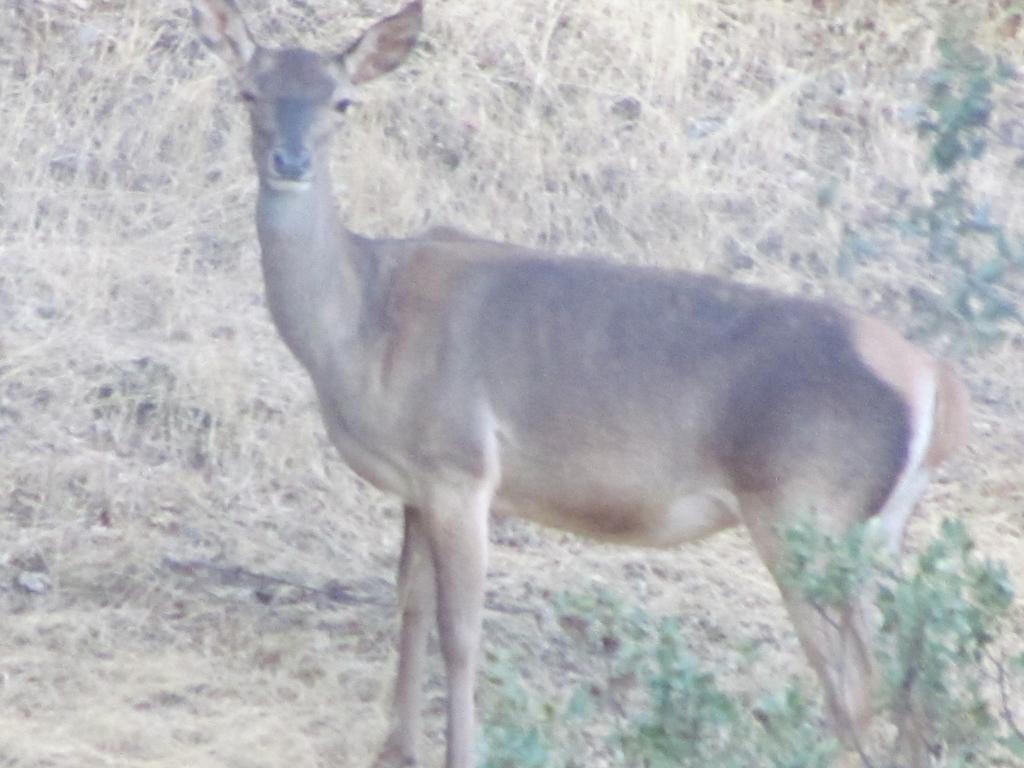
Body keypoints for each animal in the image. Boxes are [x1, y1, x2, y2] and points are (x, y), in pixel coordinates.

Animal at [190, 3, 966, 765]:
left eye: (342, 102)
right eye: (249, 92)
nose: (291, 161)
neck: (363, 326)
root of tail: (935, 380)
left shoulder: (460, 464)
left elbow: (461, 632)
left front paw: (459, 752)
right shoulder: (414, 482)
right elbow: (409, 604)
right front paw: (397, 749)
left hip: (805, 506)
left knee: (854, 682)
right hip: (875, 527)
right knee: (911, 670)